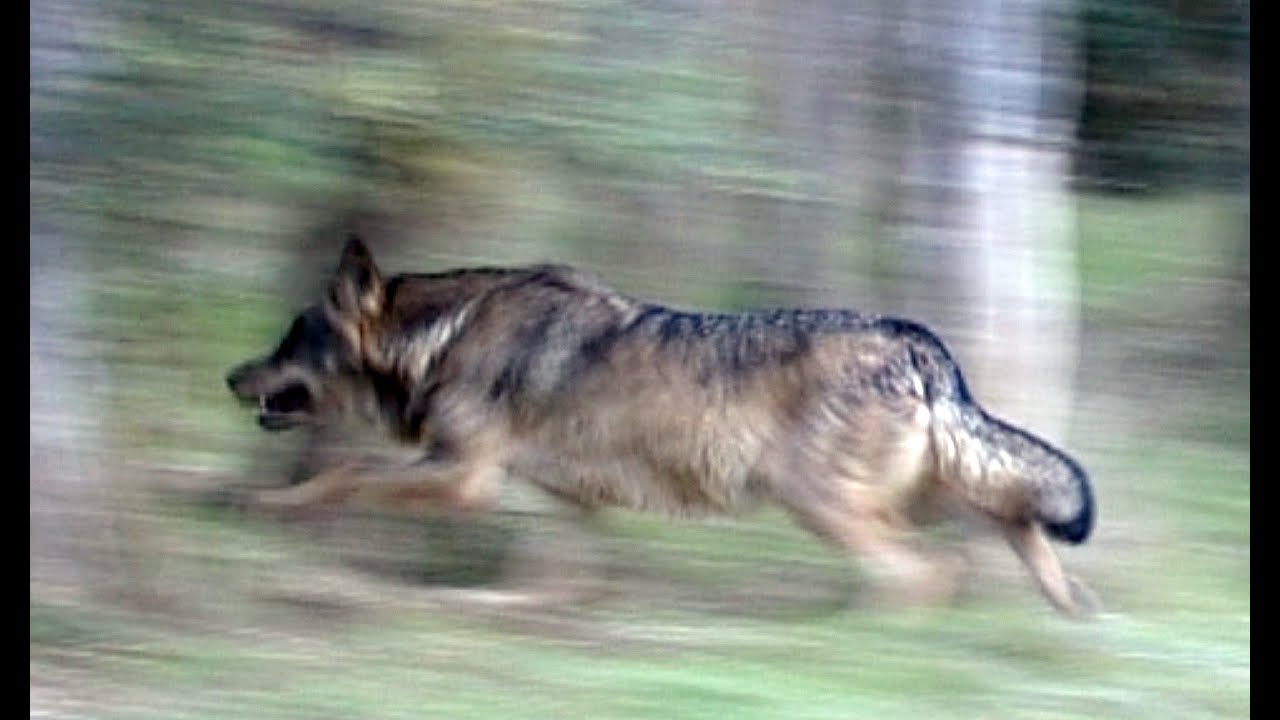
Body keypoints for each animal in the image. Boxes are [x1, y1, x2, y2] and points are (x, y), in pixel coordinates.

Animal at [226, 237, 1098, 616]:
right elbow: (546, 580)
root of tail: (918, 342)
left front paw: (273, 508)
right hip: (927, 491)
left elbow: (345, 475)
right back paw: (1068, 602)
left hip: (822, 502)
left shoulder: (466, 479)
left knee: (924, 572)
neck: (446, 336)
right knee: (1007, 529)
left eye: (288, 339)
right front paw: (499, 609)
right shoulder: (564, 503)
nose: (231, 376)